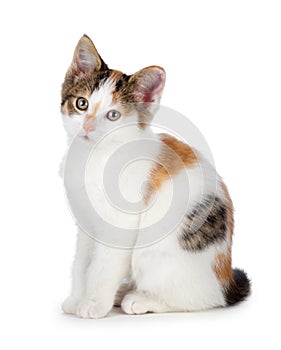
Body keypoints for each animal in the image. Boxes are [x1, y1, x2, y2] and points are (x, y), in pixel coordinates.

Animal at [61, 34, 249, 318]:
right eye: (81, 104)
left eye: (113, 115)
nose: (88, 126)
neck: (95, 157)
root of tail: (225, 281)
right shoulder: (86, 222)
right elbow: (82, 262)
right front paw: (76, 299)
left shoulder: (122, 224)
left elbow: (104, 266)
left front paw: (94, 304)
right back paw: (123, 292)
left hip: (159, 252)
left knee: (201, 299)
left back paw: (140, 299)